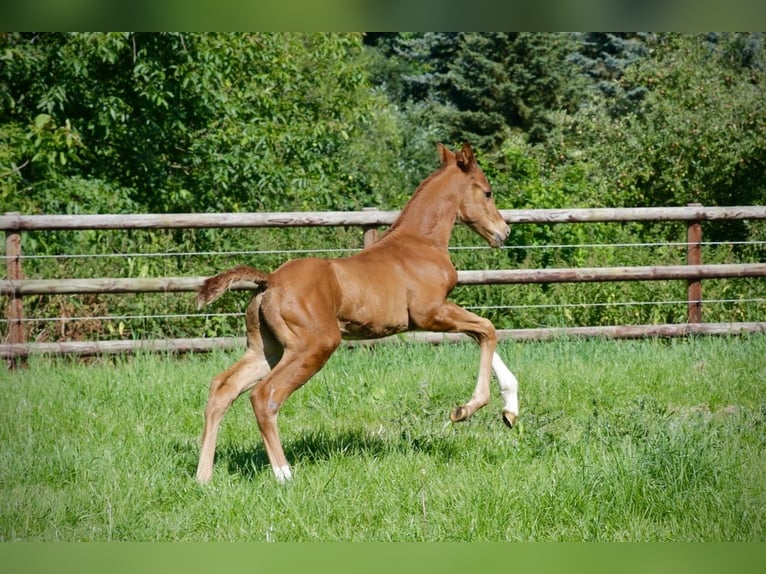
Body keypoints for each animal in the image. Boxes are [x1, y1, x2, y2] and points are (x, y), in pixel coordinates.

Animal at [195, 144, 524, 486]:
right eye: (487, 192)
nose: (504, 232)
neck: (420, 244)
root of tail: (269, 280)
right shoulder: (431, 313)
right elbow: (487, 328)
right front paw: (466, 410)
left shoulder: (441, 314)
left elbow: (482, 333)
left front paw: (509, 412)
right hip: (314, 347)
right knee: (264, 396)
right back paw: (284, 475)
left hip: (267, 350)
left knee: (222, 388)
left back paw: (203, 477)